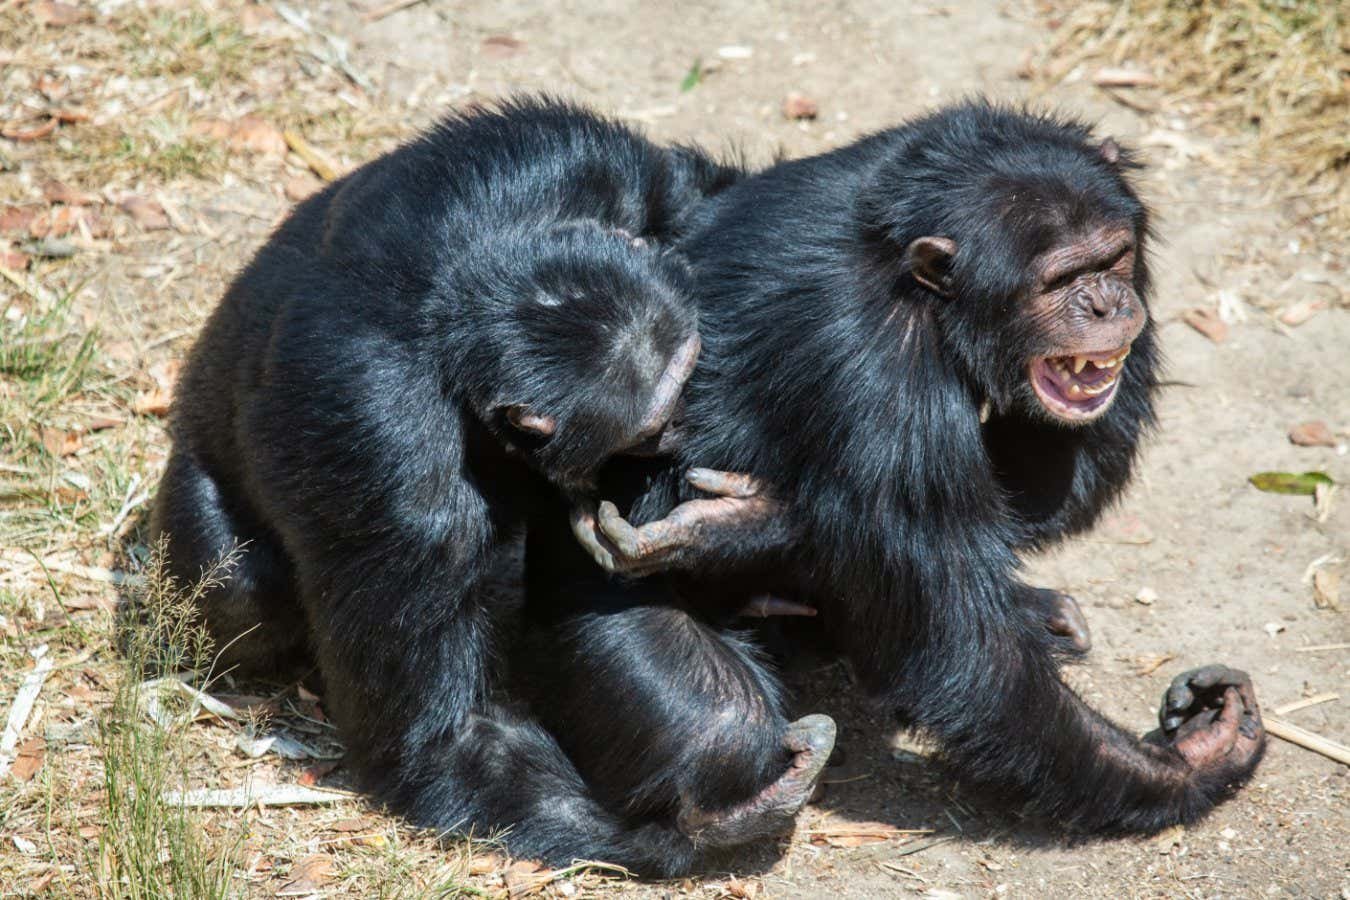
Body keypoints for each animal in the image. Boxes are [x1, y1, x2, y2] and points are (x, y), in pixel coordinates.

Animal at [150, 98, 842, 874]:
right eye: (652, 425)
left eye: (693, 369)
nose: (689, 421)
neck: (465, 282)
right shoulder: (388, 469)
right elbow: (445, 733)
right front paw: (691, 827)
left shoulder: (576, 153)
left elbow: (717, 197)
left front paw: (740, 524)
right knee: (239, 589)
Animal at [540, 100, 1263, 858]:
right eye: (1060, 280)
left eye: (1114, 256)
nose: (1106, 303)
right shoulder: (878, 364)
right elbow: (966, 652)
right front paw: (1189, 762)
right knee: (719, 716)